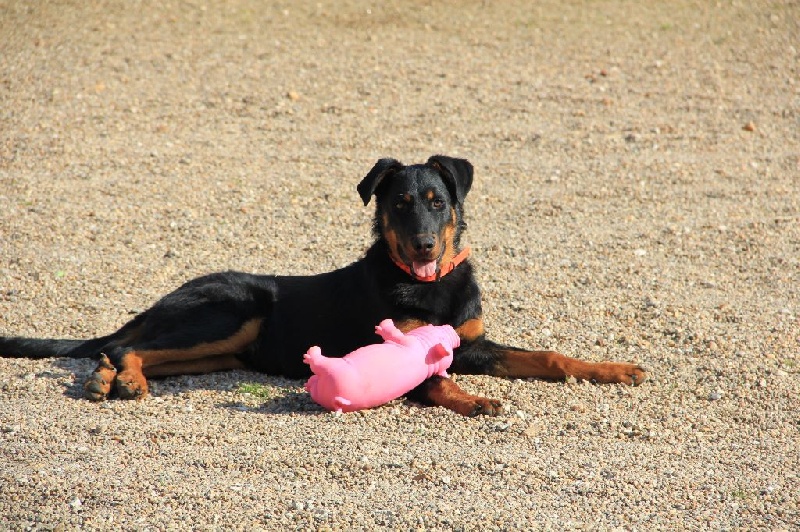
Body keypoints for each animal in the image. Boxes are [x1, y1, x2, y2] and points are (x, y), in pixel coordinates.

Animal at [0, 155, 646, 416]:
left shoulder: (472, 343)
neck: (427, 284)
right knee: (122, 342)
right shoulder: (400, 350)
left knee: (130, 348)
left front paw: (614, 370)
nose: (424, 247)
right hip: (232, 309)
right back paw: (119, 379)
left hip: (222, 351)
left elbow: (548, 356)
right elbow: (434, 383)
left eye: (437, 202)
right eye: (400, 204)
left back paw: (117, 380)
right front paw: (474, 401)